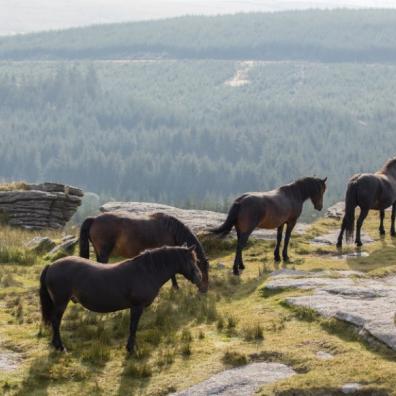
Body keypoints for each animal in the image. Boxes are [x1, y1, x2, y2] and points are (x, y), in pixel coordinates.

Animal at [78, 212, 210, 292]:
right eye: (203, 267)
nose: (204, 289)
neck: (171, 231)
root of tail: (94, 219)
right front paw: (176, 287)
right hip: (104, 252)